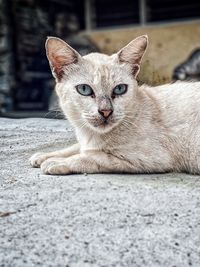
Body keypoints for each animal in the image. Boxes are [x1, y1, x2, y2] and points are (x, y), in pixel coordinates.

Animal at [28, 34, 200, 176]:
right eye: (84, 89)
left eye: (119, 89)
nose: (106, 111)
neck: (90, 135)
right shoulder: (84, 143)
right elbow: (74, 147)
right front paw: (43, 156)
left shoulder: (145, 158)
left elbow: (89, 156)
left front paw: (55, 162)